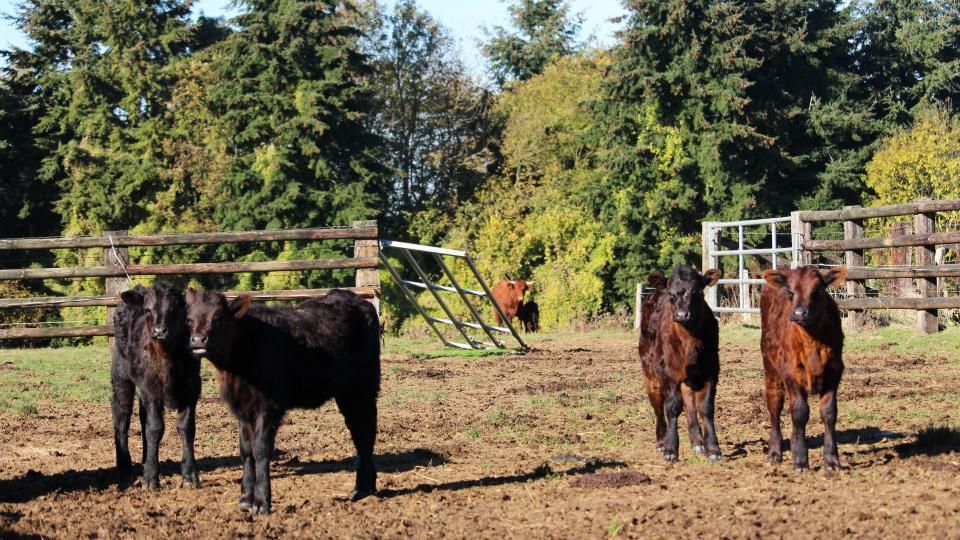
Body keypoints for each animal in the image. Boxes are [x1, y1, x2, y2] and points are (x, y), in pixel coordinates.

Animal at [111, 282, 201, 489]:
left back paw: (145, 459)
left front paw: (190, 475)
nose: (159, 331)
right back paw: (125, 467)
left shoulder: (192, 388)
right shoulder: (151, 389)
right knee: (122, 416)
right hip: (121, 375)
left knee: (142, 417)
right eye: (147, 310)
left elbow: (186, 428)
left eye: (175, 309)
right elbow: (155, 428)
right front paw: (151, 478)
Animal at [185, 288, 381, 514]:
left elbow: (260, 450)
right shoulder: (243, 409)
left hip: (362, 389)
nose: (198, 340)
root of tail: (355, 299)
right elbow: (246, 450)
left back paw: (362, 488)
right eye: (189, 319)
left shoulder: (268, 407)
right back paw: (367, 486)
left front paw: (261, 502)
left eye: (218, 319)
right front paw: (245, 499)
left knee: (365, 433)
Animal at [638, 265, 721, 463]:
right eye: (671, 293)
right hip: (651, 375)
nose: (682, 315)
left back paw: (697, 442)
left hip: (689, 379)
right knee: (659, 408)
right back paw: (661, 441)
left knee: (690, 404)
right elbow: (672, 407)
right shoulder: (668, 373)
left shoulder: (711, 371)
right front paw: (670, 448)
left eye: (697, 291)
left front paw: (712, 448)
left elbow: (705, 408)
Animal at [760, 266, 846, 472]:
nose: (799, 313)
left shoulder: (834, 373)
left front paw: (832, 460)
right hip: (770, 367)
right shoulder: (791, 374)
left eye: (817, 291)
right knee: (774, 404)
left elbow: (829, 413)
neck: (812, 342)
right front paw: (800, 459)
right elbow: (799, 413)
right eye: (790, 292)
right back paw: (774, 451)